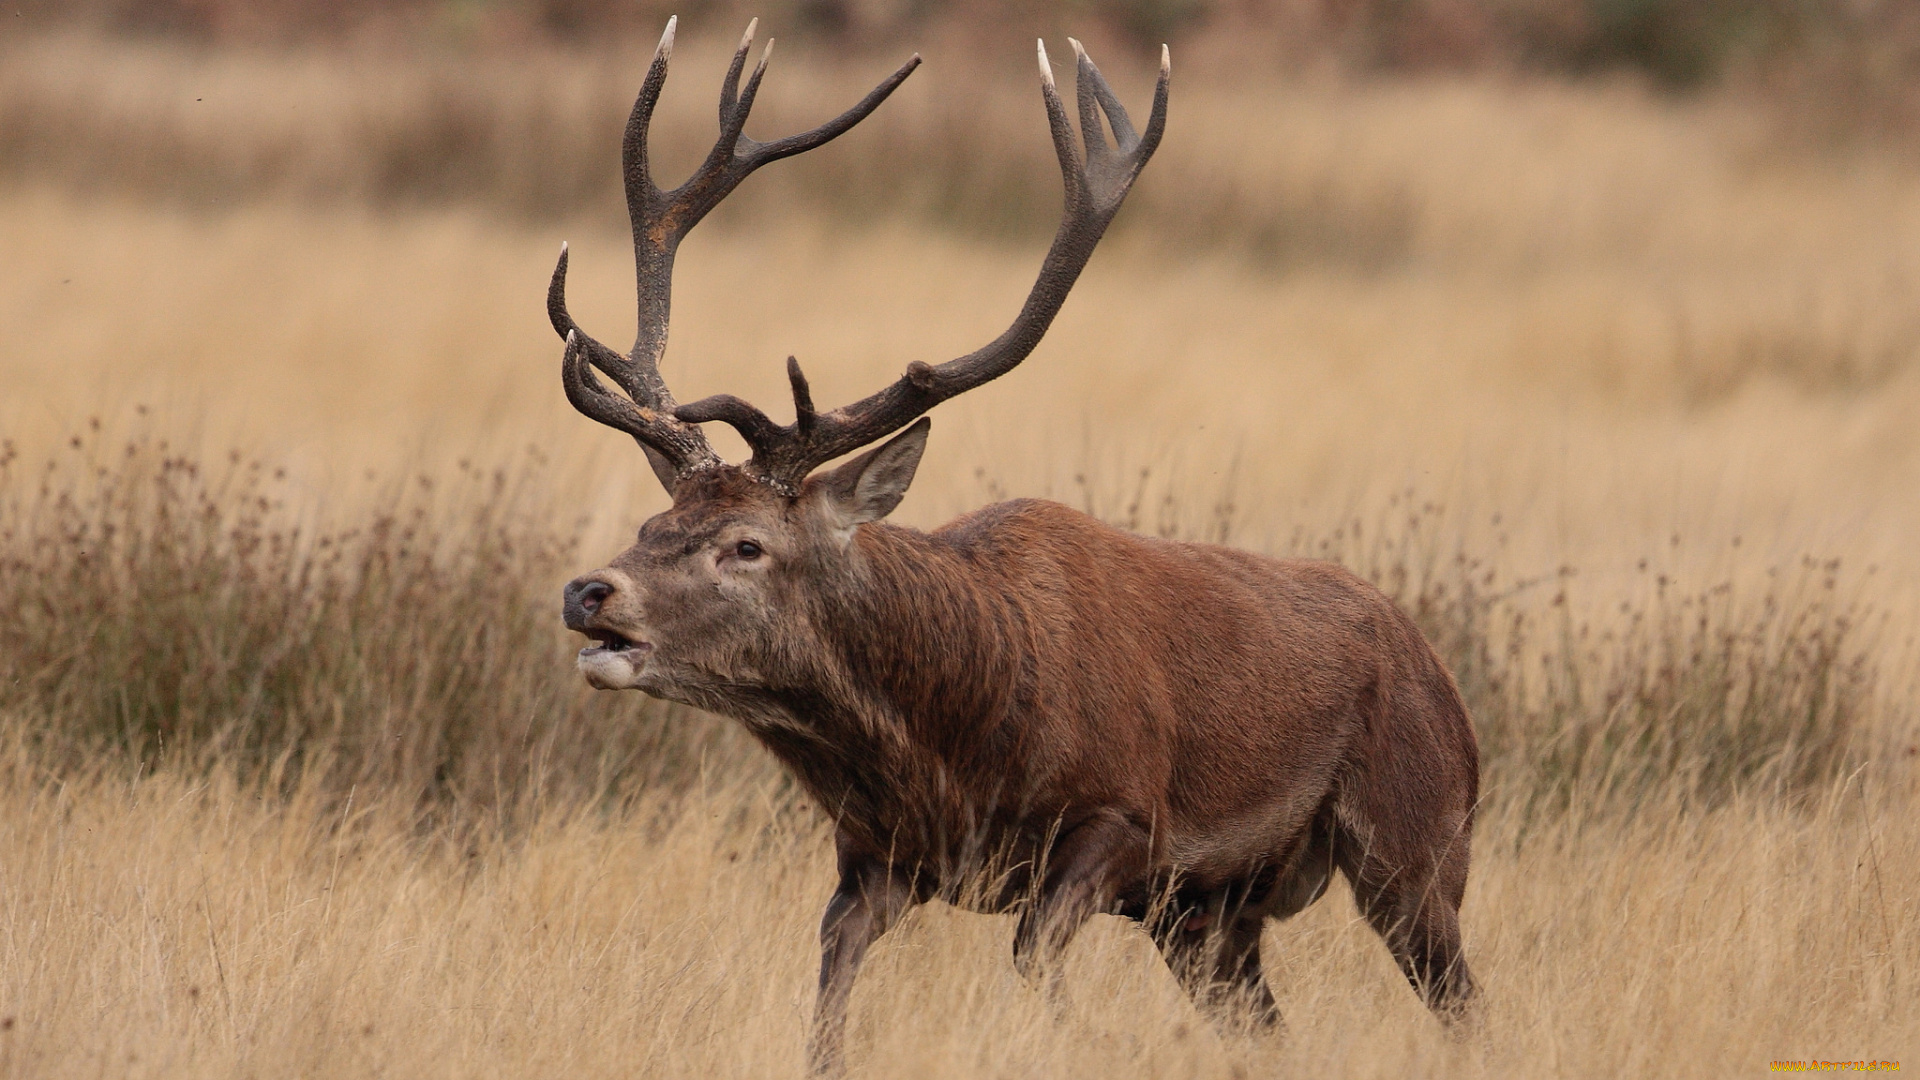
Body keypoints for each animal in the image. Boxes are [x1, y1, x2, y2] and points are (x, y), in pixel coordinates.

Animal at [556, 14, 1482, 1068]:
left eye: (748, 546)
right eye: (653, 522)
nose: (589, 592)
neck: (949, 751)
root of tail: (1442, 676)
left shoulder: (1125, 818)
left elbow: (1032, 957)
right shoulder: (876, 855)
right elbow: (831, 977)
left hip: (1419, 843)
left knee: (1464, 1004)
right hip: (1213, 917)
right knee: (1271, 1028)